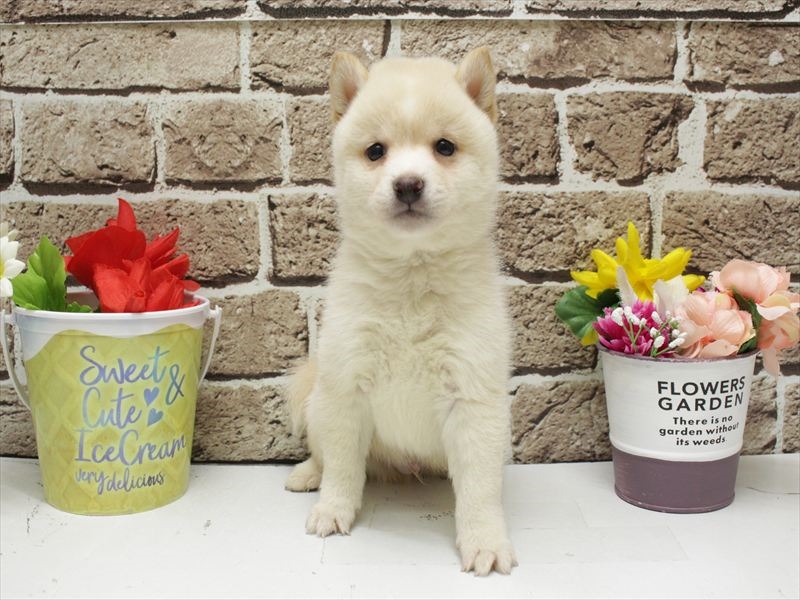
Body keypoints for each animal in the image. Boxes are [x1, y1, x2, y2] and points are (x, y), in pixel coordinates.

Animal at [285, 47, 516, 576]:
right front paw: (333, 509)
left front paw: (484, 540)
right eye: (376, 152)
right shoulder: (346, 389)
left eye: (444, 147)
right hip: (317, 397)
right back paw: (306, 475)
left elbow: (479, 491)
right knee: (324, 455)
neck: (413, 276)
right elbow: (343, 468)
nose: (408, 184)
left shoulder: (472, 399)